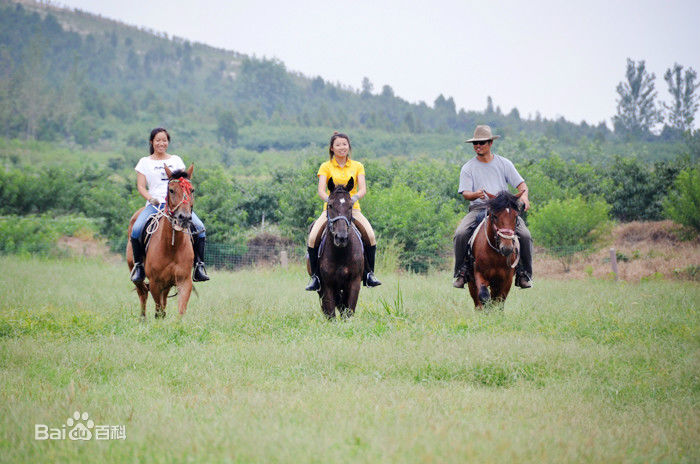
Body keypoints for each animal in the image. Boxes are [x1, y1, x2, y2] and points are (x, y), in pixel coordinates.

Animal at [126, 164, 196, 320]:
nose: (184, 217)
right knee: (142, 294)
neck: (172, 246)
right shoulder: (155, 283)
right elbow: (158, 311)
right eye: (171, 190)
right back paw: (142, 319)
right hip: (137, 273)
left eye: (192, 190)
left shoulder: (184, 281)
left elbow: (180, 311)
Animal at [314, 178, 364, 320]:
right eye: (330, 205)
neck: (341, 253)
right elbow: (331, 312)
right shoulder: (327, 285)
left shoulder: (354, 282)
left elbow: (349, 310)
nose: (341, 238)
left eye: (350, 206)